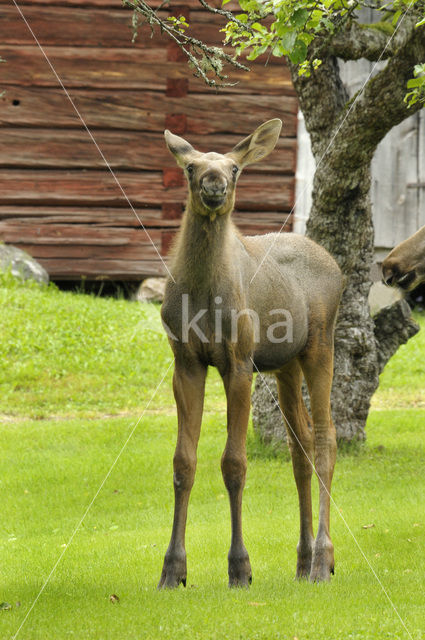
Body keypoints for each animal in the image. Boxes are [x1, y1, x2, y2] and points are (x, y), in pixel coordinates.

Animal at [157, 120, 342, 592]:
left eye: (235, 168)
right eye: (190, 166)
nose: (214, 184)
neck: (202, 294)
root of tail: (337, 266)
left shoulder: (238, 363)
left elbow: (234, 463)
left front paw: (239, 566)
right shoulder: (185, 362)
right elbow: (183, 463)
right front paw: (172, 568)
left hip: (320, 346)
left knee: (326, 439)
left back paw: (323, 559)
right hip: (285, 364)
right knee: (300, 446)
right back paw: (303, 559)